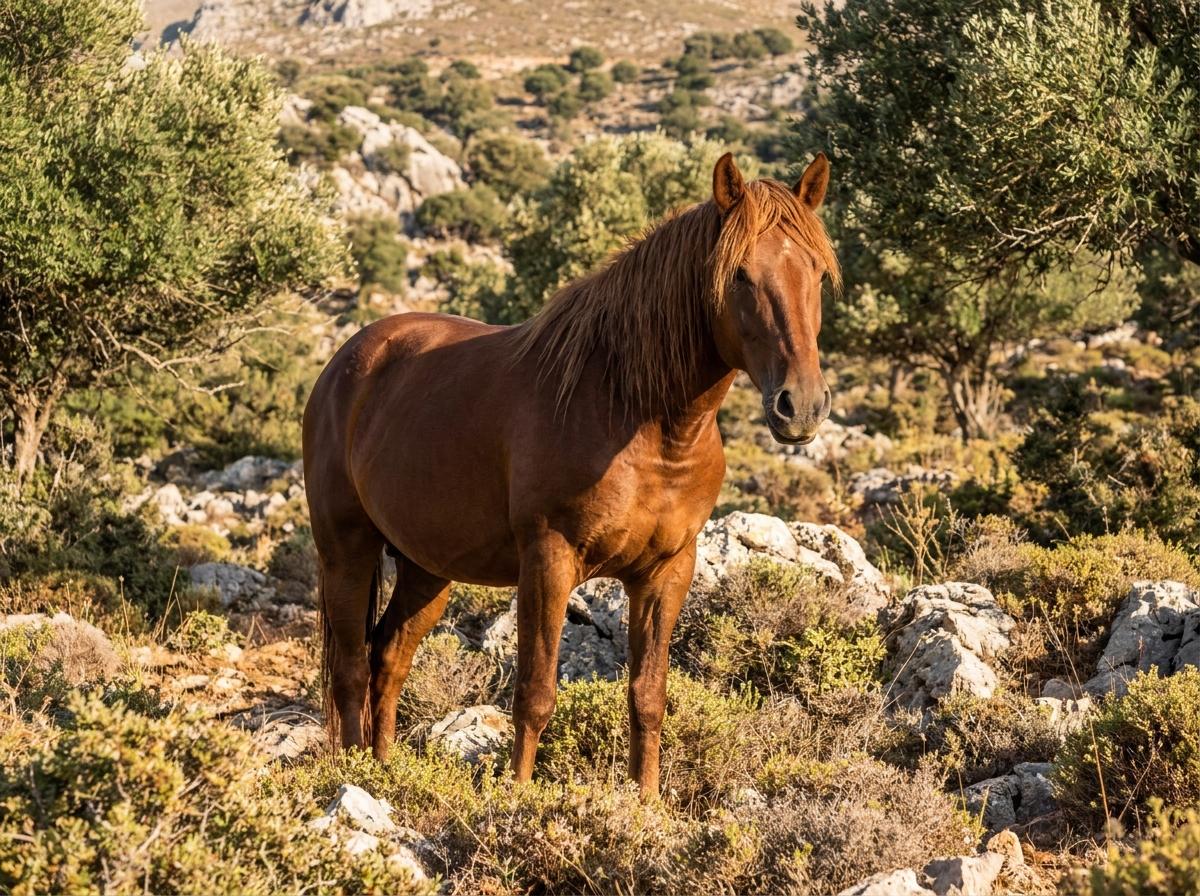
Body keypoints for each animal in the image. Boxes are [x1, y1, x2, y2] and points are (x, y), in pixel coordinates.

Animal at [302, 151, 839, 796]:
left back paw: (385, 773)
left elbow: (648, 697)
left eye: (818, 274)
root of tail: (348, 362)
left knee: (388, 657)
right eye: (738, 275)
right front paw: (517, 798)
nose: (800, 406)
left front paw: (646, 803)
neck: (642, 419)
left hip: (427, 567)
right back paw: (354, 775)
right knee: (351, 667)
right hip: (347, 549)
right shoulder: (548, 560)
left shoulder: (667, 571)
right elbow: (534, 694)